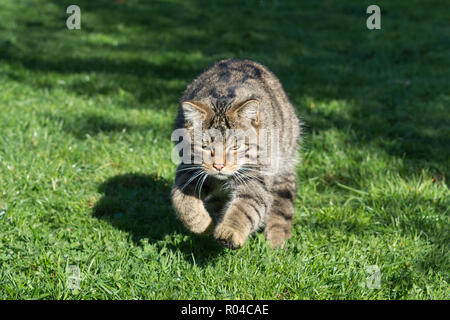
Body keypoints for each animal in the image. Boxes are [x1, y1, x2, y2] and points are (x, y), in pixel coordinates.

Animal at [171, 58, 300, 249]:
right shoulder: (188, 170)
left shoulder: (256, 177)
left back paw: (277, 239)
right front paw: (203, 224)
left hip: (283, 163)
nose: (219, 165)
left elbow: (245, 207)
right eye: (205, 146)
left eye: (234, 147)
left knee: (283, 202)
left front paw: (230, 231)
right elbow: (181, 200)